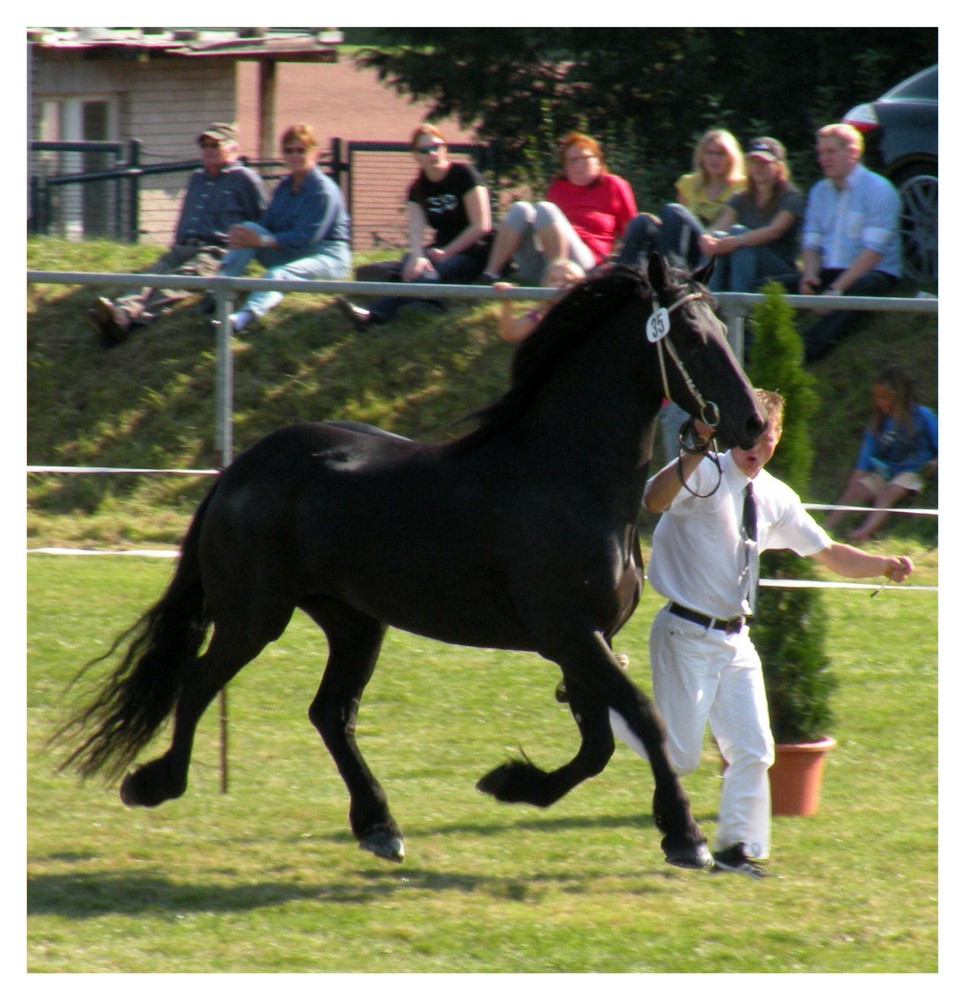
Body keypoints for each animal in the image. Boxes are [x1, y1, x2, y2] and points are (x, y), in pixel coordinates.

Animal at [58, 256, 768, 868]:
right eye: (692, 337)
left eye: (718, 326)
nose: (754, 424)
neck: (569, 476)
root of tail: (241, 468)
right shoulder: (571, 634)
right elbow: (644, 721)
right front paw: (685, 838)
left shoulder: (583, 642)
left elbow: (597, 745)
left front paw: (513, 783)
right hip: (254, 616)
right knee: (200, 681)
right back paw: (154, 784)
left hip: (353, 622)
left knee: (330, 713)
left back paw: (379, 825)